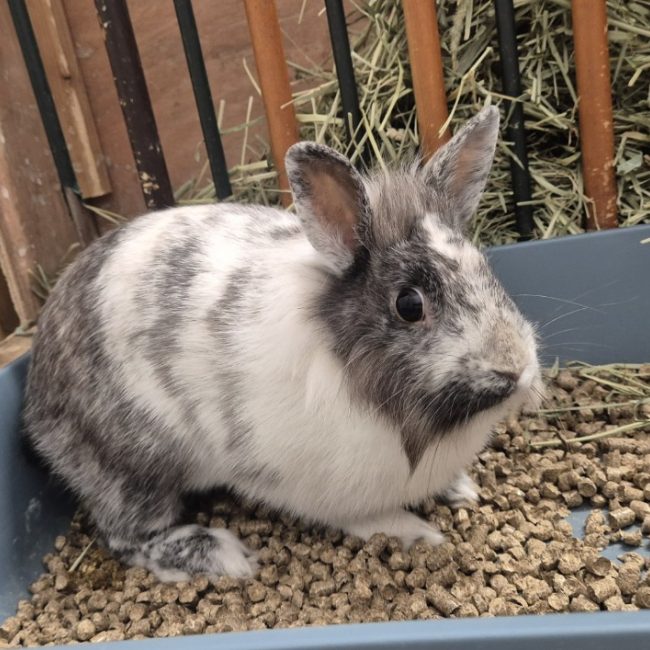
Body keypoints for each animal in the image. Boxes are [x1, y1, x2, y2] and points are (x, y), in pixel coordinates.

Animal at [23, 106, 542, 582]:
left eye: (484, 266)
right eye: (409, 304)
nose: (515, 367)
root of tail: (36, 394)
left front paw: (461, 489)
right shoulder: (326, 491)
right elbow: (371, 518)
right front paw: (420, 534)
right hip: (132, 471)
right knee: (127, 536)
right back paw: (222, 556)